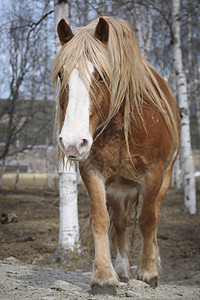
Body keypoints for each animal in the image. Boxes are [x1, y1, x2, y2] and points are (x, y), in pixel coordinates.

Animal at [51, 15, 181, 292]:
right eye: (61, 74)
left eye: (101, 76)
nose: (72, 143)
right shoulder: (92, 171)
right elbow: (101, 220)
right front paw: (103, 276)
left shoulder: (154, 174)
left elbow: (147, 220)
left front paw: (148, 272)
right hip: (118, 187)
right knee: (120, 223)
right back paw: (121, 269)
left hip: (164, 179)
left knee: (153, 217)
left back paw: (153, 263)